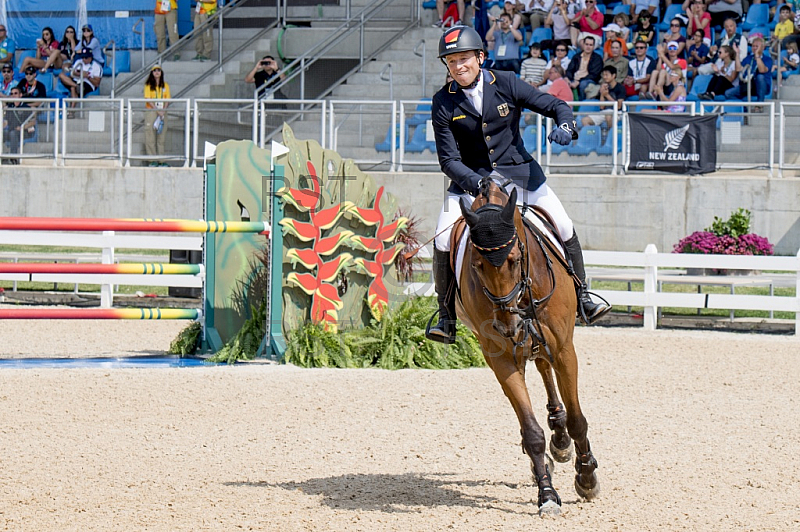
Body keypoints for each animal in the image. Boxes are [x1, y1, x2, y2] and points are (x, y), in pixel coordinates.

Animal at [454, 179, 596, 516]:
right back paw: (552, 445)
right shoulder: (502, 359)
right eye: (476, 265)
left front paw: (586, 477)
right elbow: (531, 432)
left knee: (546, 370)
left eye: (515, 259)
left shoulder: (564, 350)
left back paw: (561, 439)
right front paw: (547, 494)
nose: (508, 325)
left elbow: (578, 420)